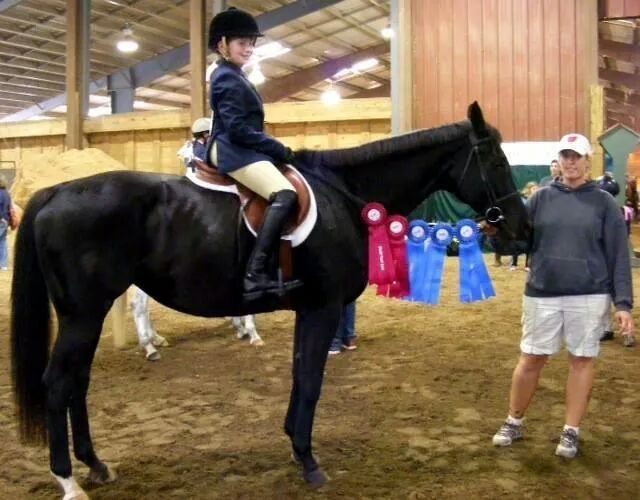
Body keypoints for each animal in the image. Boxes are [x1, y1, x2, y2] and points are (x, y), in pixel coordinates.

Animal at [10, 103, 528, 498]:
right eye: (498, 163)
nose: (521, 230)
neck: (345, 199)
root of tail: (55, 191)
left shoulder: (310, 309)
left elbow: (300, 376)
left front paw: (295, 446)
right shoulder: (323, 308)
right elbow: (312, 381)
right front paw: (310, 461)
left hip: (87, 314)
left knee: (78, 382)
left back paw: (96, 465)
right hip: (82, 314)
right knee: (58, 383)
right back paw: (69, 481)